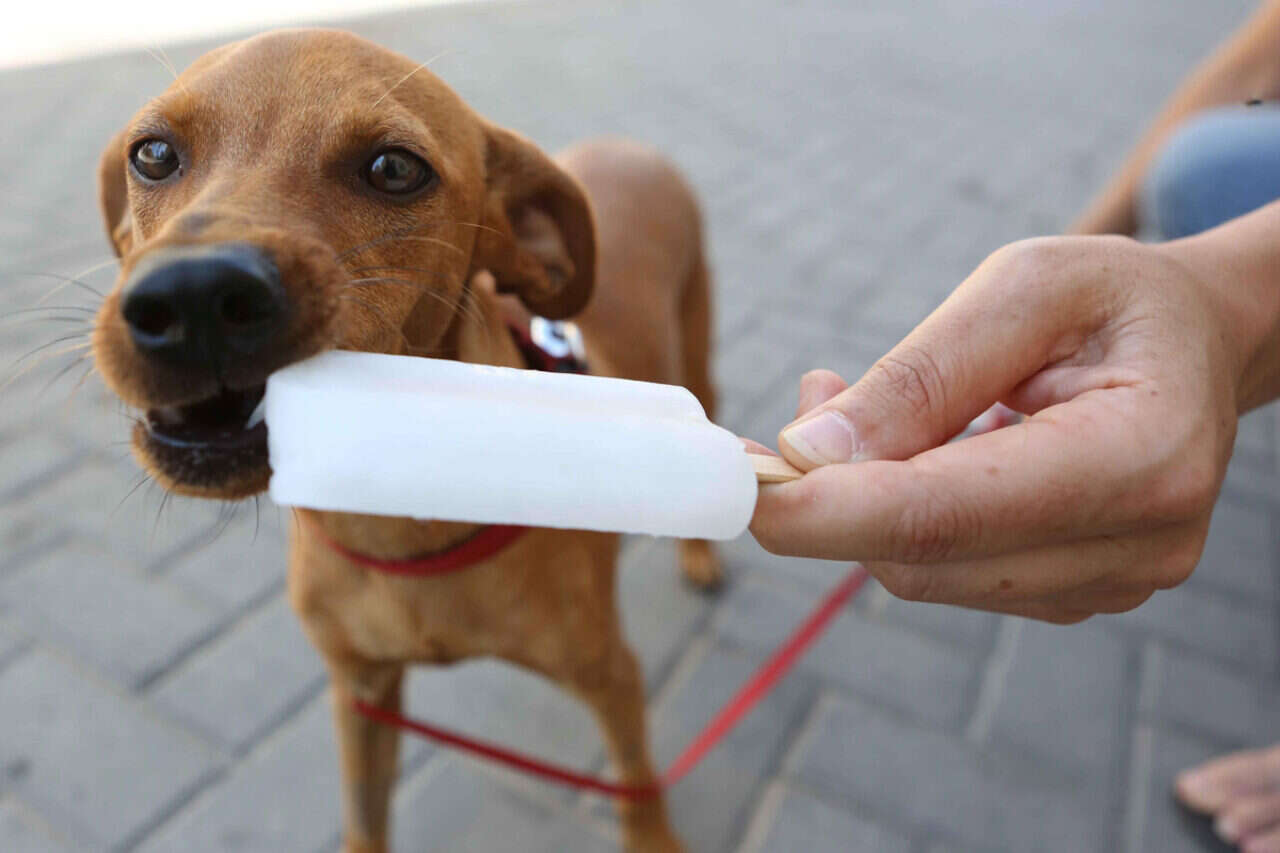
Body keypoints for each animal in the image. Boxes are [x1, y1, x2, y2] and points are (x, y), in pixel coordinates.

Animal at [91, 28, 723, 852]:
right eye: (155, 154)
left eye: (394, 169)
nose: (192, 296)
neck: (398, 532)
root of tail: (627, 146)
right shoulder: (361, 692)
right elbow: (366, 820)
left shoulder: (613, 675)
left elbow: (638, 788)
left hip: (700, 355)